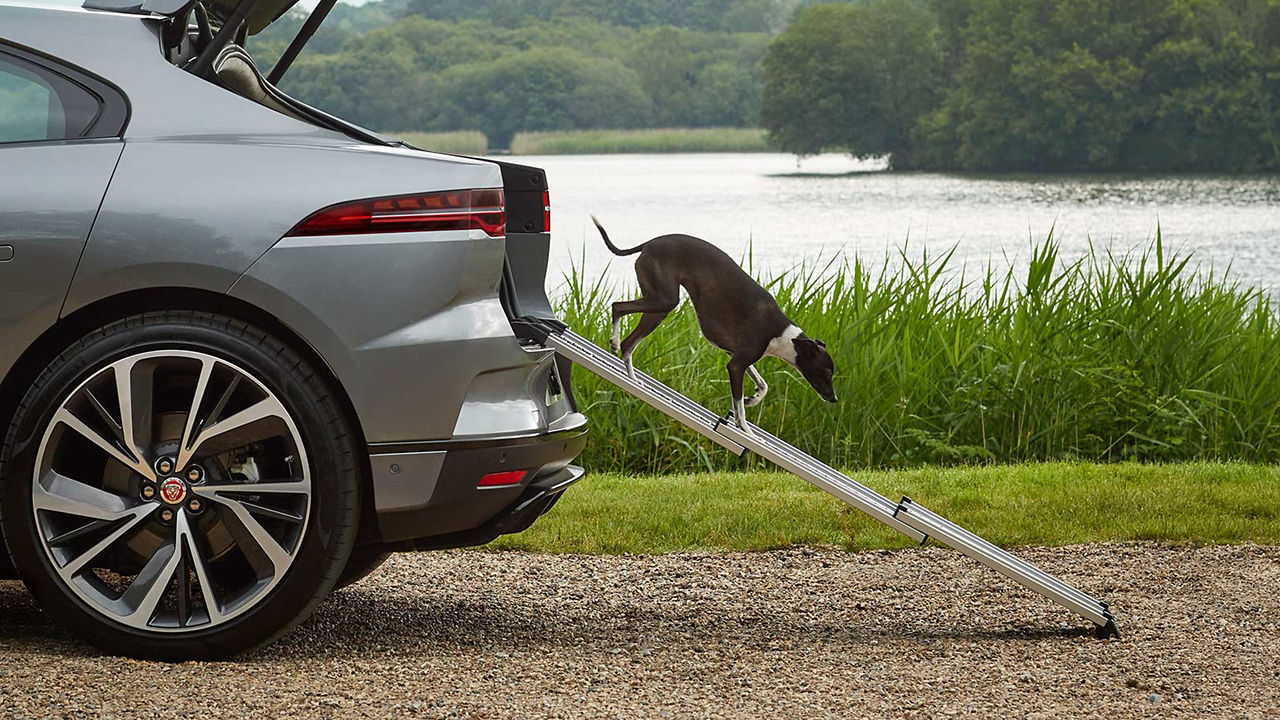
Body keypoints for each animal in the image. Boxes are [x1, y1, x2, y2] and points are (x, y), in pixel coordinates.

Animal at [591, 217, 839, 430]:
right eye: (827, 373)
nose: (834, 398)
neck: (783, 335)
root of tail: (649, 243)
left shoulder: (734, 353)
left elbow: (763, 386)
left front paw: (752, 398)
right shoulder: (736, 365)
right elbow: (738, 408)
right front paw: (744, 428)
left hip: (659, 307)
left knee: (627, 336)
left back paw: (630, 373)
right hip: (664, 300)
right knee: (618, 310)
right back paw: (621, 355)